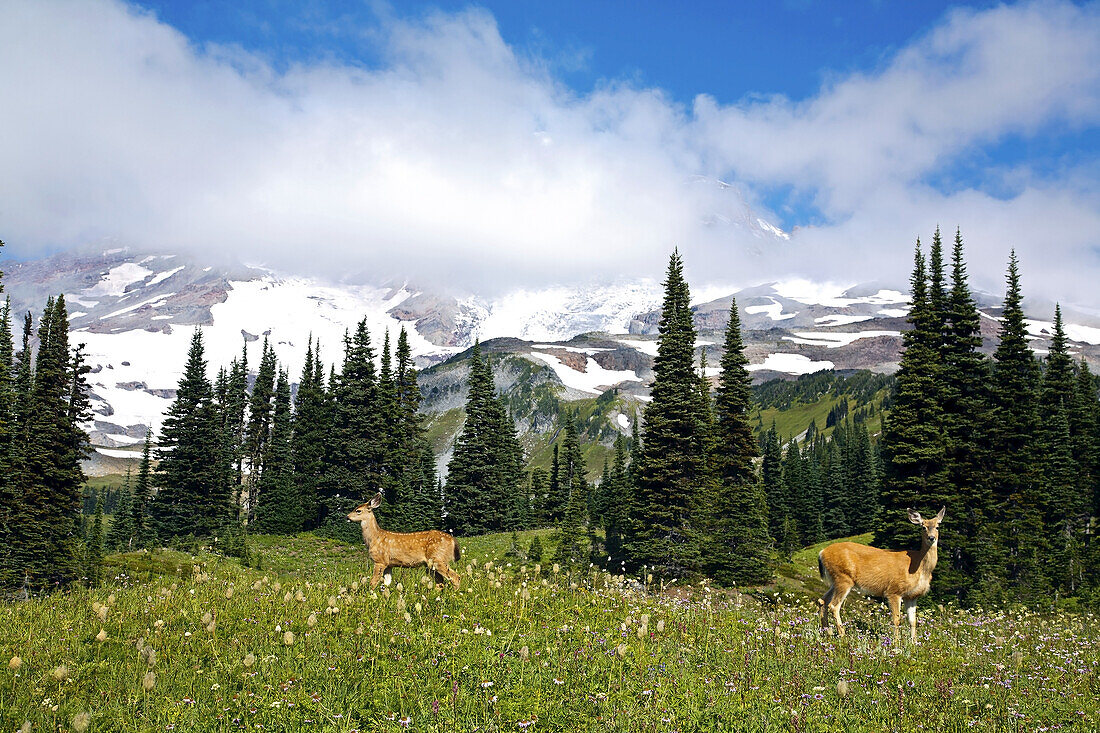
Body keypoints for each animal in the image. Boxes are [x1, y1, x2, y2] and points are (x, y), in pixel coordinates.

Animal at [818, 506, 946, 642]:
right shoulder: (894, 590)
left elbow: (913, 621)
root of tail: (822, 552)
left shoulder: (911, 596)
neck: (919, 567)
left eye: (937, 526)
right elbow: (896, 620)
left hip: (835, 580)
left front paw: (914, 643)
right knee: (833, 605)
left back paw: (827, 633)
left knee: (822, 601)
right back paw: (842, 636)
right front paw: (896, 643)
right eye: (923, 527)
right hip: (844, 578)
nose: (931, 538)